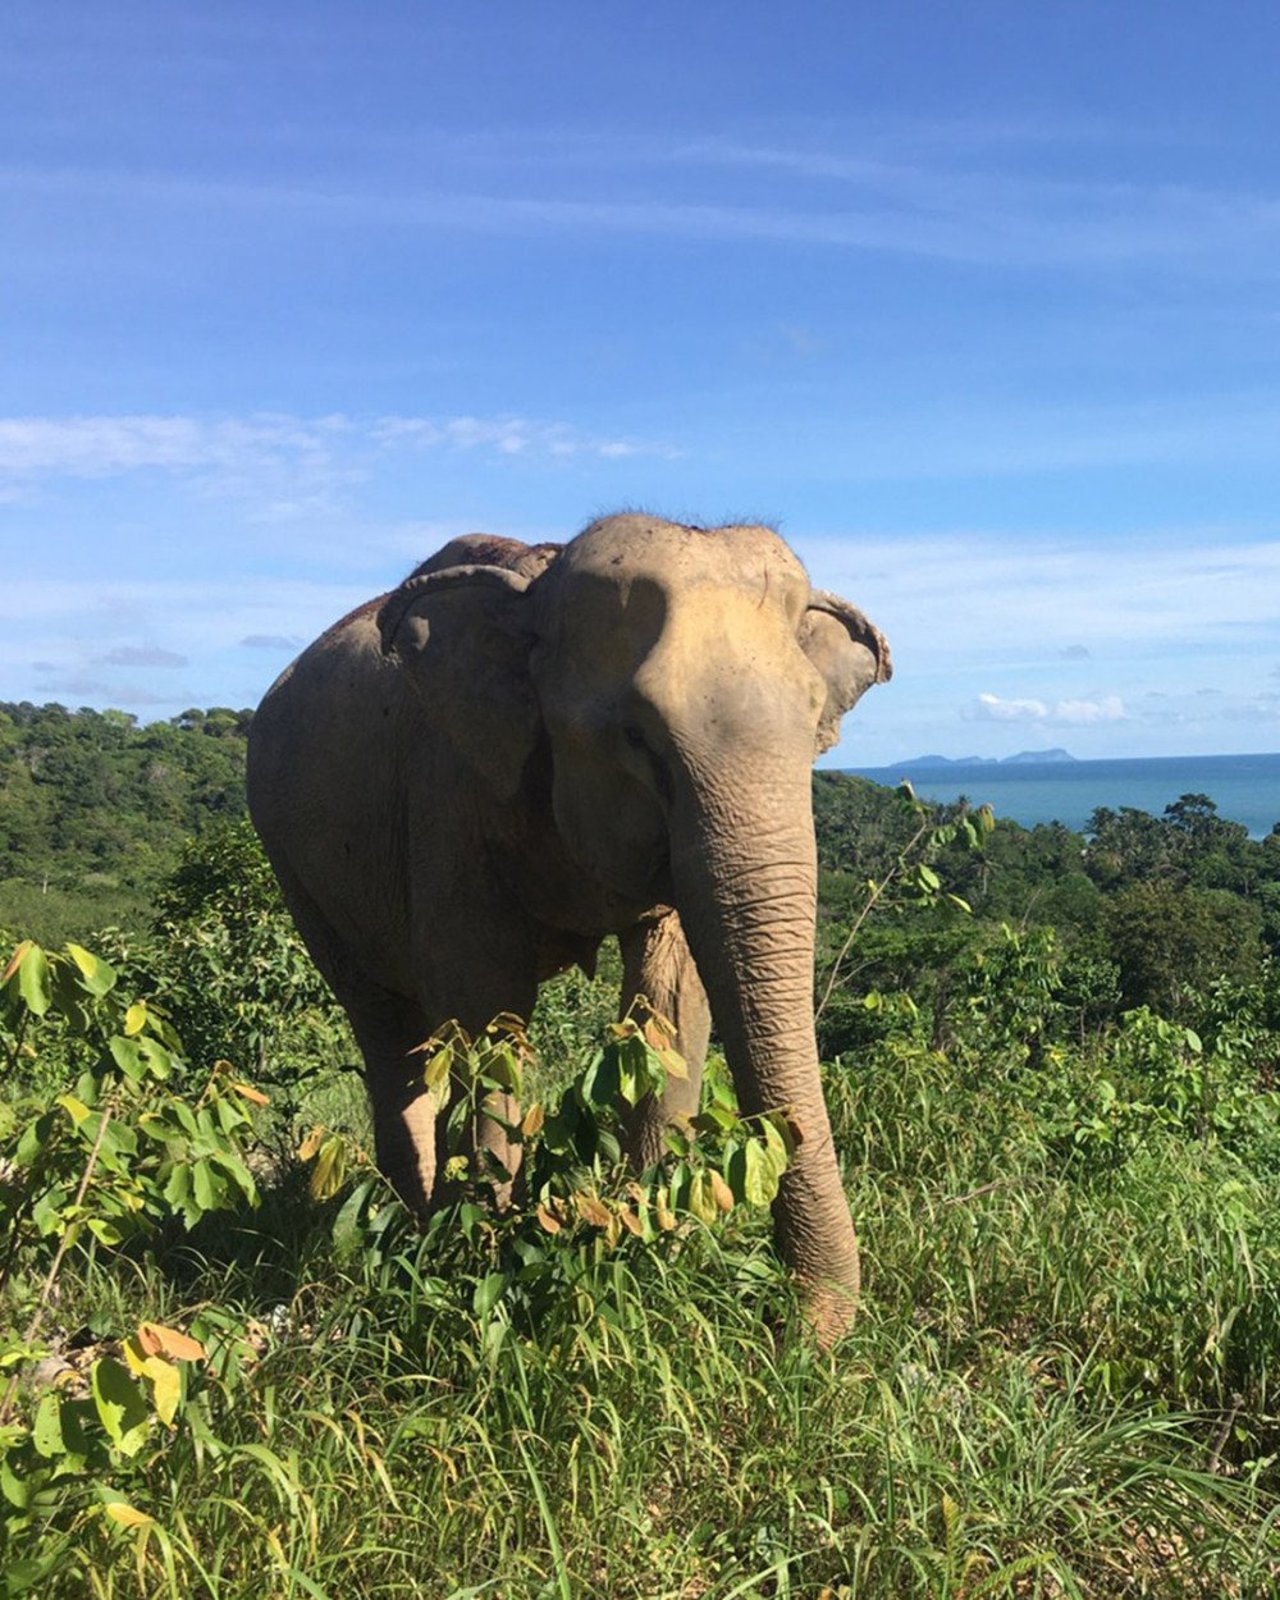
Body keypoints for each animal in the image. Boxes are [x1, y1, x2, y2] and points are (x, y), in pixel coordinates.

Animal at [248, 508, 889, 1337]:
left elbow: (670, 997)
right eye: (638, 736)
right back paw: (407, 1228)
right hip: (292, 861)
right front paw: (480, 1262)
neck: (538, 587)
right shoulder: (447, 788)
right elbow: (484, 997)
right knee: (384, 1027)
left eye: (816, 723)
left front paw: (656, 1245)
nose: (796, 1328)